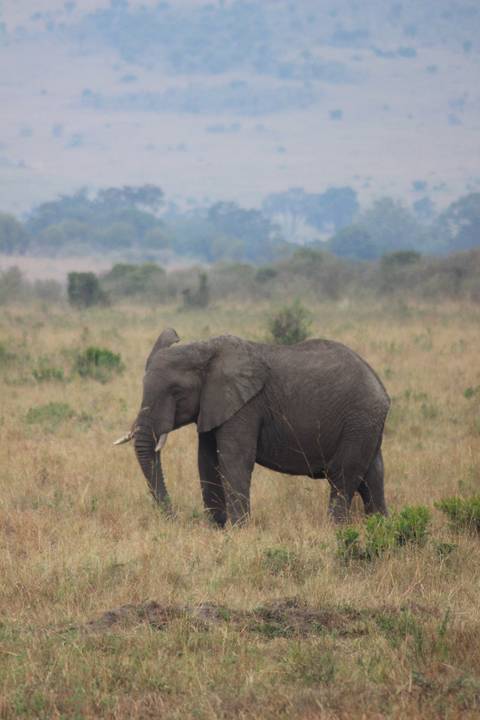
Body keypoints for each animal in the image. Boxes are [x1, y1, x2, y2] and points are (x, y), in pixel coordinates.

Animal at [114, 327, 390, 526]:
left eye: (176, 392)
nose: (174, 517)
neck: (203, 349)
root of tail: (381, 388)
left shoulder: (245, 406)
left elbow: (233, 460)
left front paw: (238, 530)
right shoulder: (214, 406)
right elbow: (206, 461)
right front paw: (216, 528)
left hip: (359, 420)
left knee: (343, 475)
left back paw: (336, 528)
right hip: (366, 425)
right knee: (373, 475)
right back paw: (380, 525)